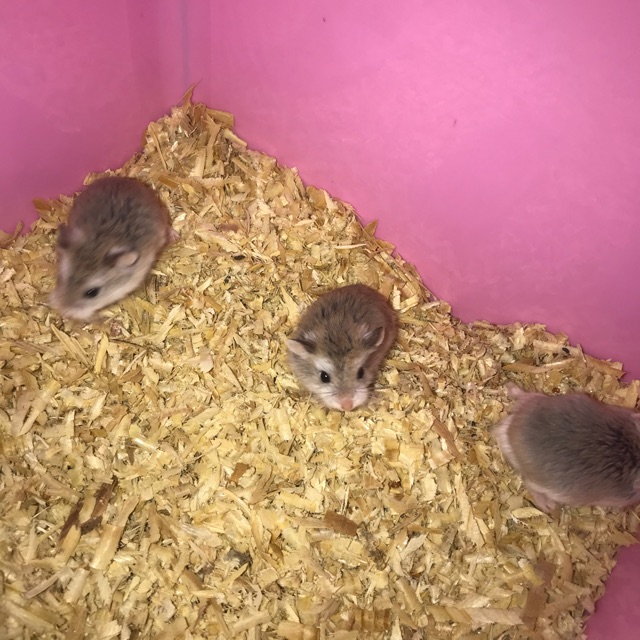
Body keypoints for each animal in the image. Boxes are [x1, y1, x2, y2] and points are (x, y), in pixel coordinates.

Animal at [50, 176, 178, 322]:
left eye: (92, 293)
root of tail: (125, 180)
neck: (99, 244)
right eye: (60, 277)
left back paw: (175, 236)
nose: (63, 310)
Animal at [492, 382, 640, 512]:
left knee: (527, 396)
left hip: (543, 400)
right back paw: (549, 506)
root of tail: (513, 425)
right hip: (549, 488)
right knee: (528, 483)